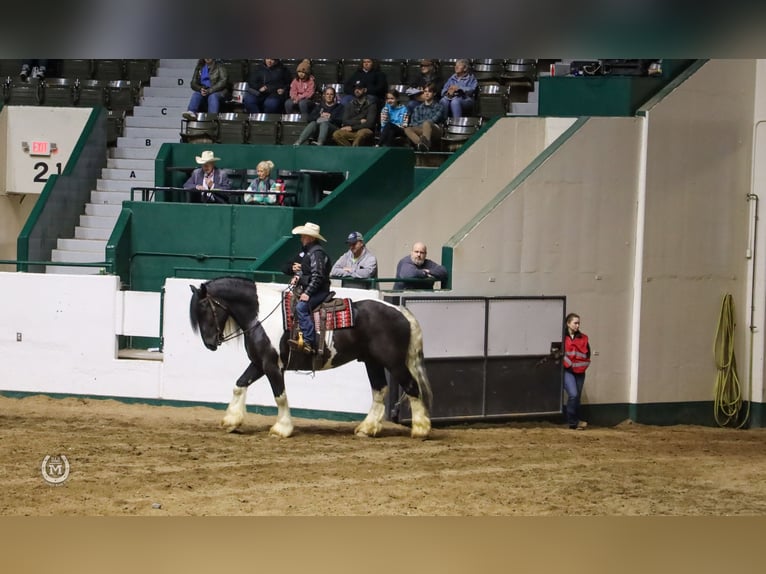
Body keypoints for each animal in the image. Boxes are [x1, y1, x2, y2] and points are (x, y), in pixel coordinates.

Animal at [190, 280, 436, 440]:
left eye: (204, 309)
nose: (210, 343)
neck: (260, 316)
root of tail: (401, 311)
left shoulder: (272, 365)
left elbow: (280, 396)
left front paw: (281, 429)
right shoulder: (259, 363)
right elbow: (239, 385)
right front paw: (231, 421)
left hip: (393, 362)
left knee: (411, 387)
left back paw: (420, 430)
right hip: (372, 362)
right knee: (379, 390)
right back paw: (367, 429)